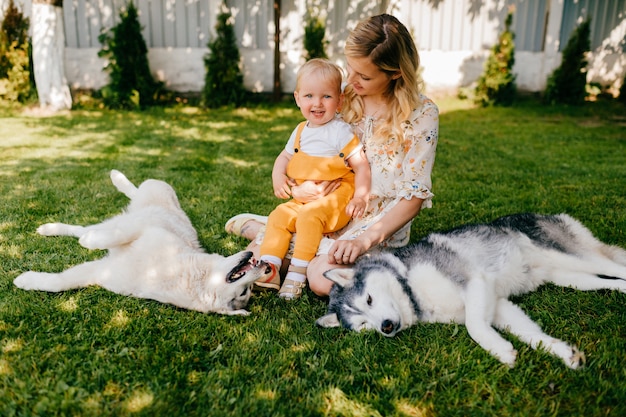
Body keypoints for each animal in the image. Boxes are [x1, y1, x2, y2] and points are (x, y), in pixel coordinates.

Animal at [15, 169, 270, 316]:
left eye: (244, 292)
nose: (264, 265)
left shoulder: (102, 271)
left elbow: (60, 283)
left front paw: (27, 280)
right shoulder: (144, 230)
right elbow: (117, 236)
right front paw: (91, 243)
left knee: (86, 229)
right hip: (153, 192)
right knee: (133, 193)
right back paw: (115, 178)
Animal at [316, 214, 624, 368]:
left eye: (369, 298)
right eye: (363, 325)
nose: (386, 327)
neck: (412, 289)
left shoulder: (474, 281)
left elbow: (474, 327)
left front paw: (499, 351)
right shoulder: (498, 305)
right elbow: (530, 334)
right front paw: (561, 352)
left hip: (575, 257)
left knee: (616, 266)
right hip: (571, 277)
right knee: (608, 280)